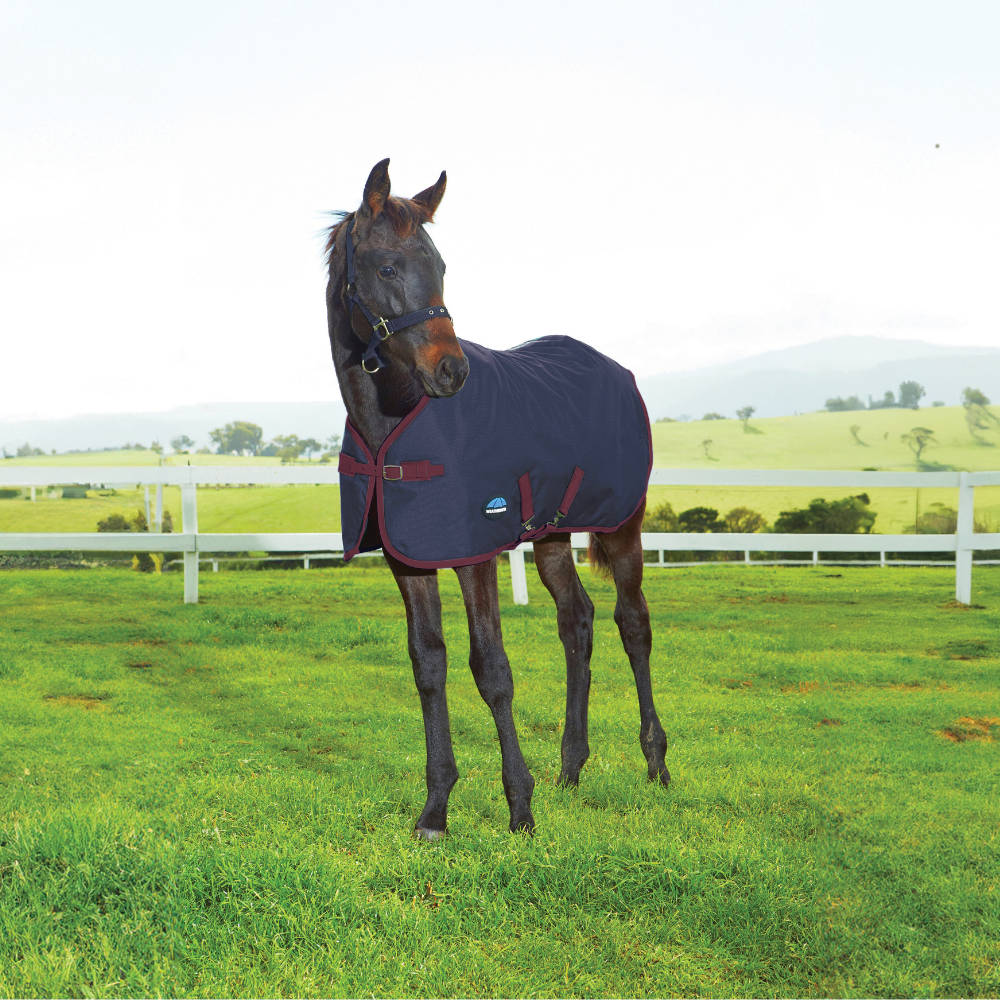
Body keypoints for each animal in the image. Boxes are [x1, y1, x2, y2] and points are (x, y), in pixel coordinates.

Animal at [325, 159, 669, 837]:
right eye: (387, 268)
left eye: (441, 265)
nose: (452, 371)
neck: (395, 425)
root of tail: (616, 370)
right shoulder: (409, 558)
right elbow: (428, 665)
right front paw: (435, 810)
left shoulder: (475, 553)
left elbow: (491, 668)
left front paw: (519, 808)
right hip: (554, 534)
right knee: (577, 621)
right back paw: (571, 767)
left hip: (622, 525)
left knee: (632, 623)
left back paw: (656, 763)